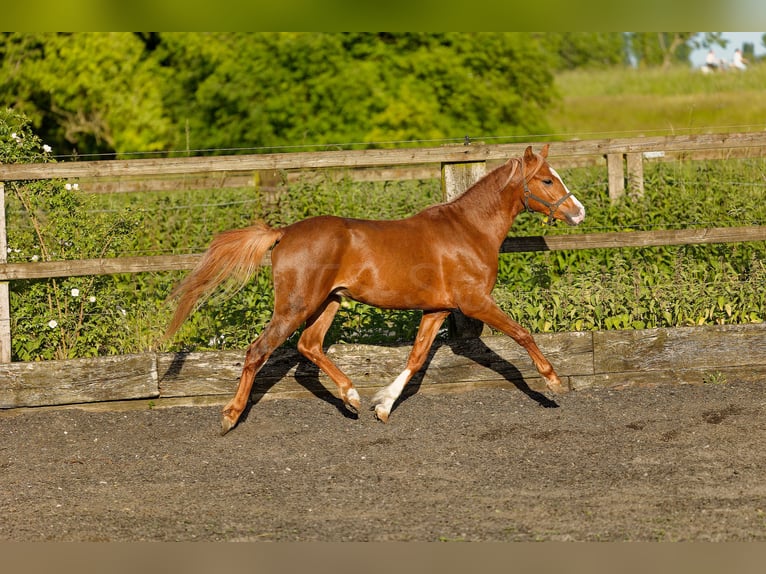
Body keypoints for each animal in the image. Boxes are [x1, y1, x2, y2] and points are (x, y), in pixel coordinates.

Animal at [166, 145, 588, 436]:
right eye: (547, 180)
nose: (579, 212)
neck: (469, 230)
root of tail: (284, 233)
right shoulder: (474, 302)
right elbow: (522, 333)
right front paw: (553, 383)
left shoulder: (437, 309)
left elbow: (417, 357)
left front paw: (382, 406)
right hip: (297, 305)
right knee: (258, 350)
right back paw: (230, 417)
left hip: (329, 302)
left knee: (309, 346)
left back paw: (350, 397)